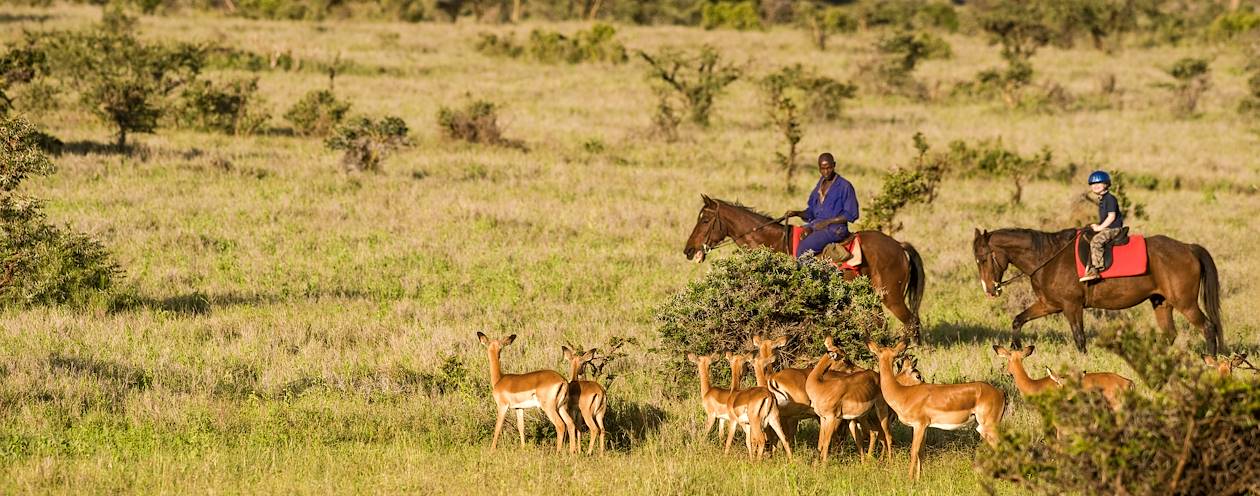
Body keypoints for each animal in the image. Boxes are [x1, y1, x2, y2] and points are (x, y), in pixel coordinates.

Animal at [682, 195, 926, 343]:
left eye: (705, 220)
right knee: (881, 323)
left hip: (891, 296)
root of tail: (898, 246)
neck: (774, 242)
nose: (688, 250)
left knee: (911, 322)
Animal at [972, 227, 1224, 355]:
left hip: (1185, 303)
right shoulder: (1049, 304)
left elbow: (1080, 338)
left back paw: (1210, 360)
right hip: (1161, 302)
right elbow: (1018, 320)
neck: (1048, 257)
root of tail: (1188, 248)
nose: (989, 290)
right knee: (1170, 334)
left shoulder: (1071, 306)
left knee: (1208, 327)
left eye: (983, 258)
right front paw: (1015, 350)